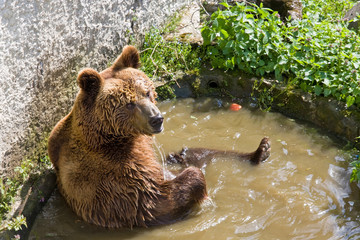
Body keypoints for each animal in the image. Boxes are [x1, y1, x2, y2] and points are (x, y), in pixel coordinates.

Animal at [49, 45, 272, 229]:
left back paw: (261, 151)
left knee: (200, 153)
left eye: (147, 92)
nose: (157, 119)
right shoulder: (111, 175)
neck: (110, 137)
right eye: (129, 103)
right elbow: (153, 199)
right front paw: (197, 183)